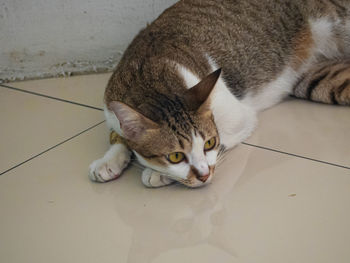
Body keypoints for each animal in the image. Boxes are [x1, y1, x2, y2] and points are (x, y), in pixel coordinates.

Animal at [89, 0, 350, 190]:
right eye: (175, 156)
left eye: (209, 143)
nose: (204, 176)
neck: (148, 77)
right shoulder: (112, 107)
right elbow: (118, 135)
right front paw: (109, 160)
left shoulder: (238, 116)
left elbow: (220, 142)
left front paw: (156, 173)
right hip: (317, 80)